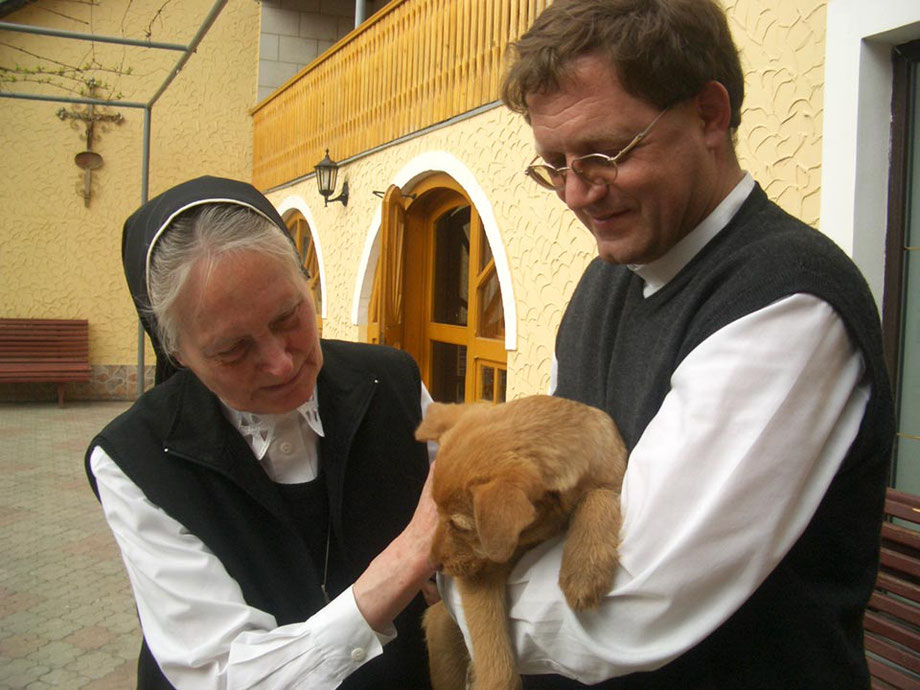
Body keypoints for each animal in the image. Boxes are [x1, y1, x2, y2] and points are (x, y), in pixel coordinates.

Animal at [416, 396, 624, 688]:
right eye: (436, 512)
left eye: (459, 526)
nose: (433, 563)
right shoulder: (482, 573)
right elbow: (493, 653)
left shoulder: (611, 474)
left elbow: (599, 495)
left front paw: (584, 569)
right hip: (442, 635)